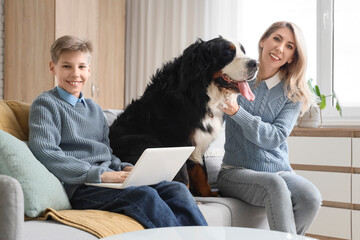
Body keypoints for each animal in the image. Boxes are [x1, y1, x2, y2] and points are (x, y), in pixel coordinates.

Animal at [108, 36, 258, 197]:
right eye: (228, 53)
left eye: (243, 51)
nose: (256, 64)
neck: (200, 93)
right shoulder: (176, 141)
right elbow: (183, 176)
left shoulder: (197, 141)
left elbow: (201, 172)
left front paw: (208, 194)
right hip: (143, 140)